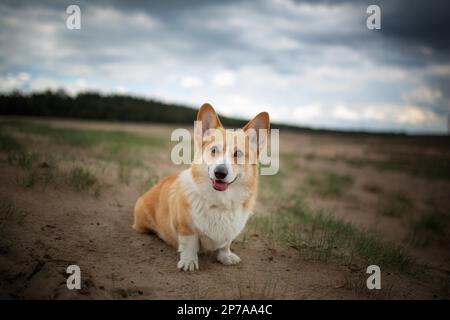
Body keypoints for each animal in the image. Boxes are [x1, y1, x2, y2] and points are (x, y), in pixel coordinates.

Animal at [132, 102, 268, 270]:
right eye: (214, 150)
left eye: (238, 153)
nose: (220, 173)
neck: (220, 202)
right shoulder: (186, 228)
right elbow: (189, 244)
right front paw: (189, 262)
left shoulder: (230, 232)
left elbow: (225, 244)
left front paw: (226, 256)